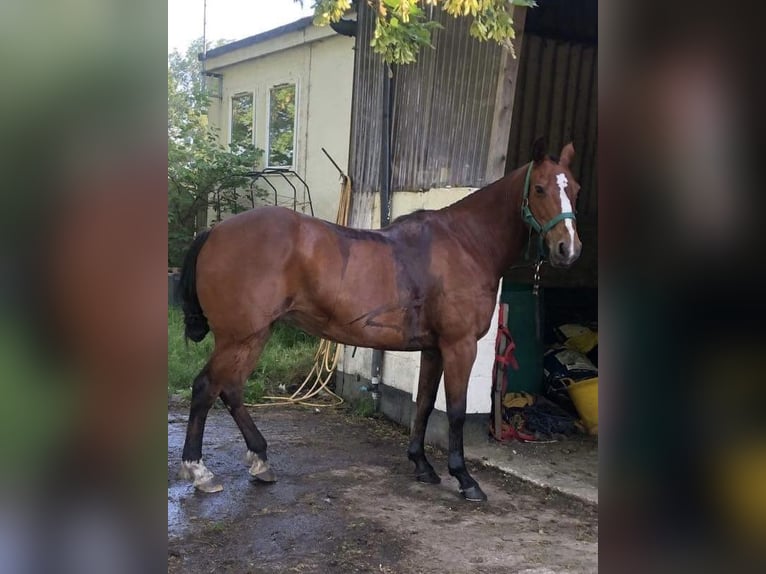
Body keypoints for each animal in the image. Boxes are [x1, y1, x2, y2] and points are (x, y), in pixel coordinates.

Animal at [177, 141, 584, 504]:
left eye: (575, 189)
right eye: (540, 188)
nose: (569, 250)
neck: (465, 244)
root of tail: (215, 232)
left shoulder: (434, 349)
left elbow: (425, 403)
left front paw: (422, 465)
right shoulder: (459, 345)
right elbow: (455, 411)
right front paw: (465, 479)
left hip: (255, 334)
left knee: (230, 390)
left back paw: (260, 460)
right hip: (239, 337)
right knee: (205, 388)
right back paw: (200, 471)